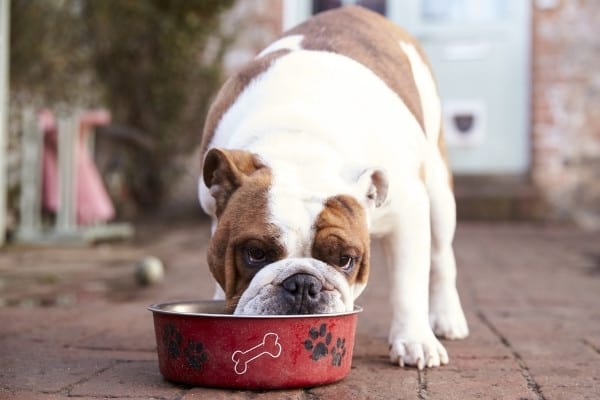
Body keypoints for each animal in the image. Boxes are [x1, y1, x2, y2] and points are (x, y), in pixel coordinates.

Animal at [198, 5, 468, 368]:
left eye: (345, 260)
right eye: (255, 253)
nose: (302, 284)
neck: (301, 147)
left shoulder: (408, 214)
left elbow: (408, 283)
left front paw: (415, 341)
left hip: (439, 194)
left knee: (441, 258)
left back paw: (447, 318)